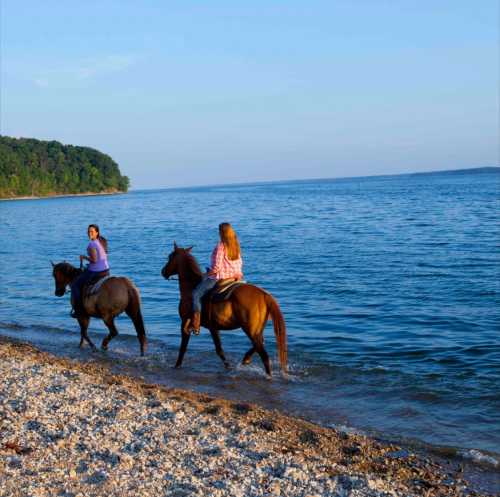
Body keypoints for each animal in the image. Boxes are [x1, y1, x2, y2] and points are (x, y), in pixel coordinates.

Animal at [162, 242, 288, 374]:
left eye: (170, 257)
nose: (163, 271)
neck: (191, 287)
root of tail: (264, 295)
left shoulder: (185, 323)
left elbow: (184, 348)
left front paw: (176, 366)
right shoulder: (214, 327)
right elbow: (219, 349)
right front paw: (229, 367)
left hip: (251, 330)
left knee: (264, 355)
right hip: (256, 330)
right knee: (259, 344)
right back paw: (246, 359)